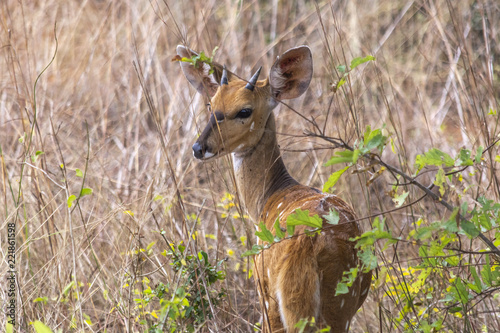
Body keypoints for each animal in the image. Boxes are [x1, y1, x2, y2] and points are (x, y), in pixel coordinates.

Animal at [177, 44, 372, 332]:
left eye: (244, 111)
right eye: (211, 104)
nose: (199, 147)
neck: (269, 196)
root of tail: (308, 244)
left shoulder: (262, 285)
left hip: (282, 300)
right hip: (342, 303)